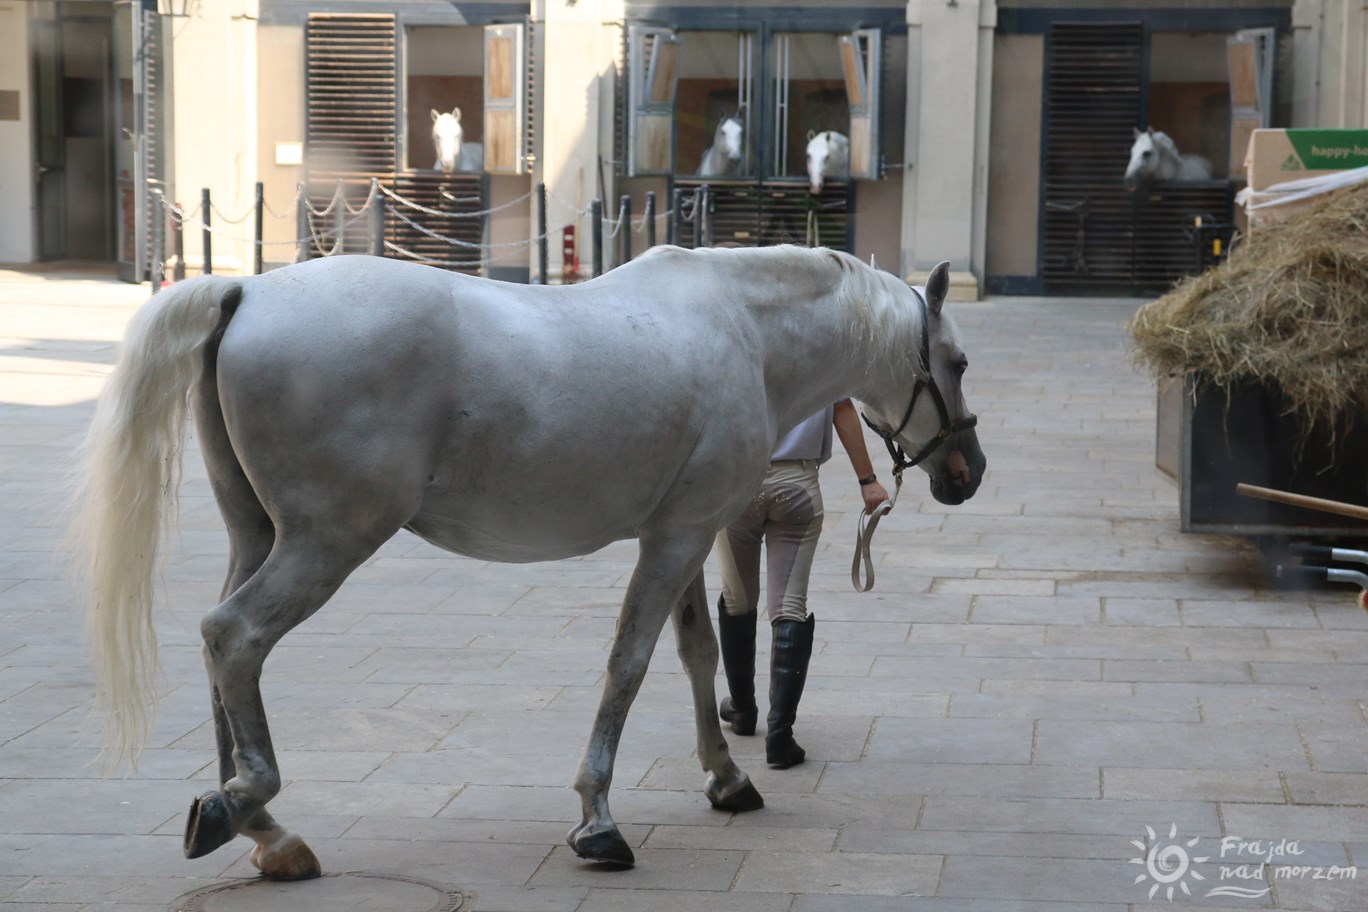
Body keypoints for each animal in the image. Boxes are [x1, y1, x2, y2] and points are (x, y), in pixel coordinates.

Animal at [69, 246, 984, 880]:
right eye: (959, 362)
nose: (966, 471)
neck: (745, 334)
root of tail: (246, 290)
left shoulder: (683, 533)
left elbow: (696, 653)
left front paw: (727, 779)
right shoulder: (677, 539)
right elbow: (630, 665)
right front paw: (599, 819)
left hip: (259, 533)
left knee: (218, 644)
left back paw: (261, 832)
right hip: (327, 541)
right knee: (235, 635)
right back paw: (248, 799)